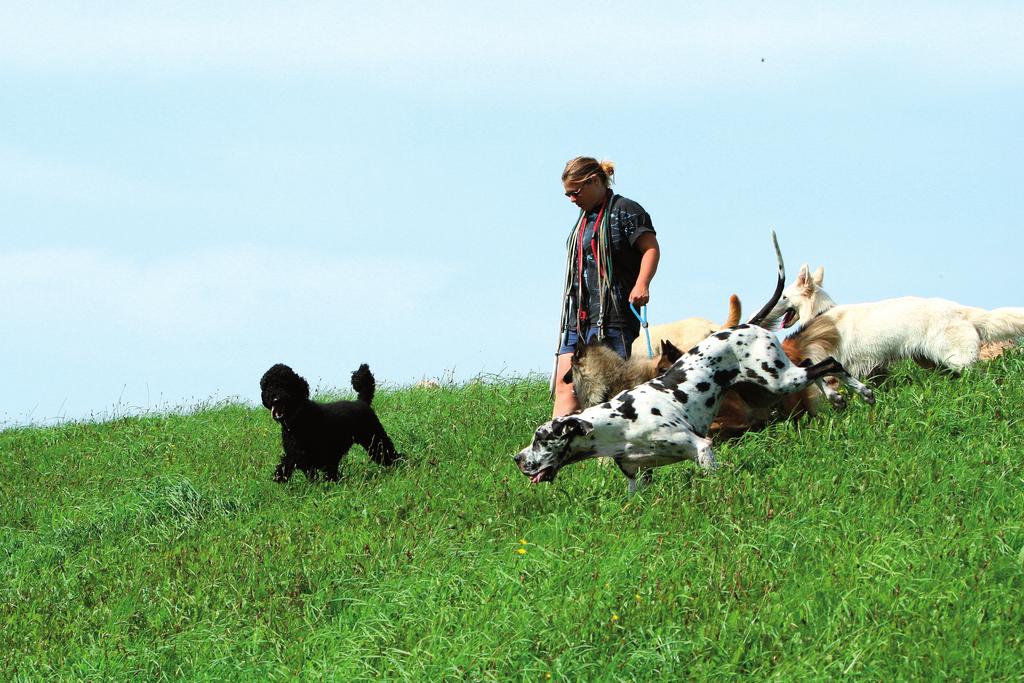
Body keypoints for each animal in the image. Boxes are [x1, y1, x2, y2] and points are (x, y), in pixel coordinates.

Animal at [260, 362, 399, 481]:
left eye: (286, 383)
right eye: (268, 386)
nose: (276, 399)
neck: (299, 417)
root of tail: (362, 401)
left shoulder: (319, 455)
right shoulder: (305, 457)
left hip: (375, 440)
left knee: (390, 454)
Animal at [516, 232, 876, 493]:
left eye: (542, 438)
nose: (517, 458)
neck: (617, 423)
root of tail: (745, 325)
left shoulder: (701, 447)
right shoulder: (638, 478)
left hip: (777, 379)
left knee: (829, 363)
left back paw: (862, 393)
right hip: (769, 385)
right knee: (815, 366)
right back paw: (837, 396)